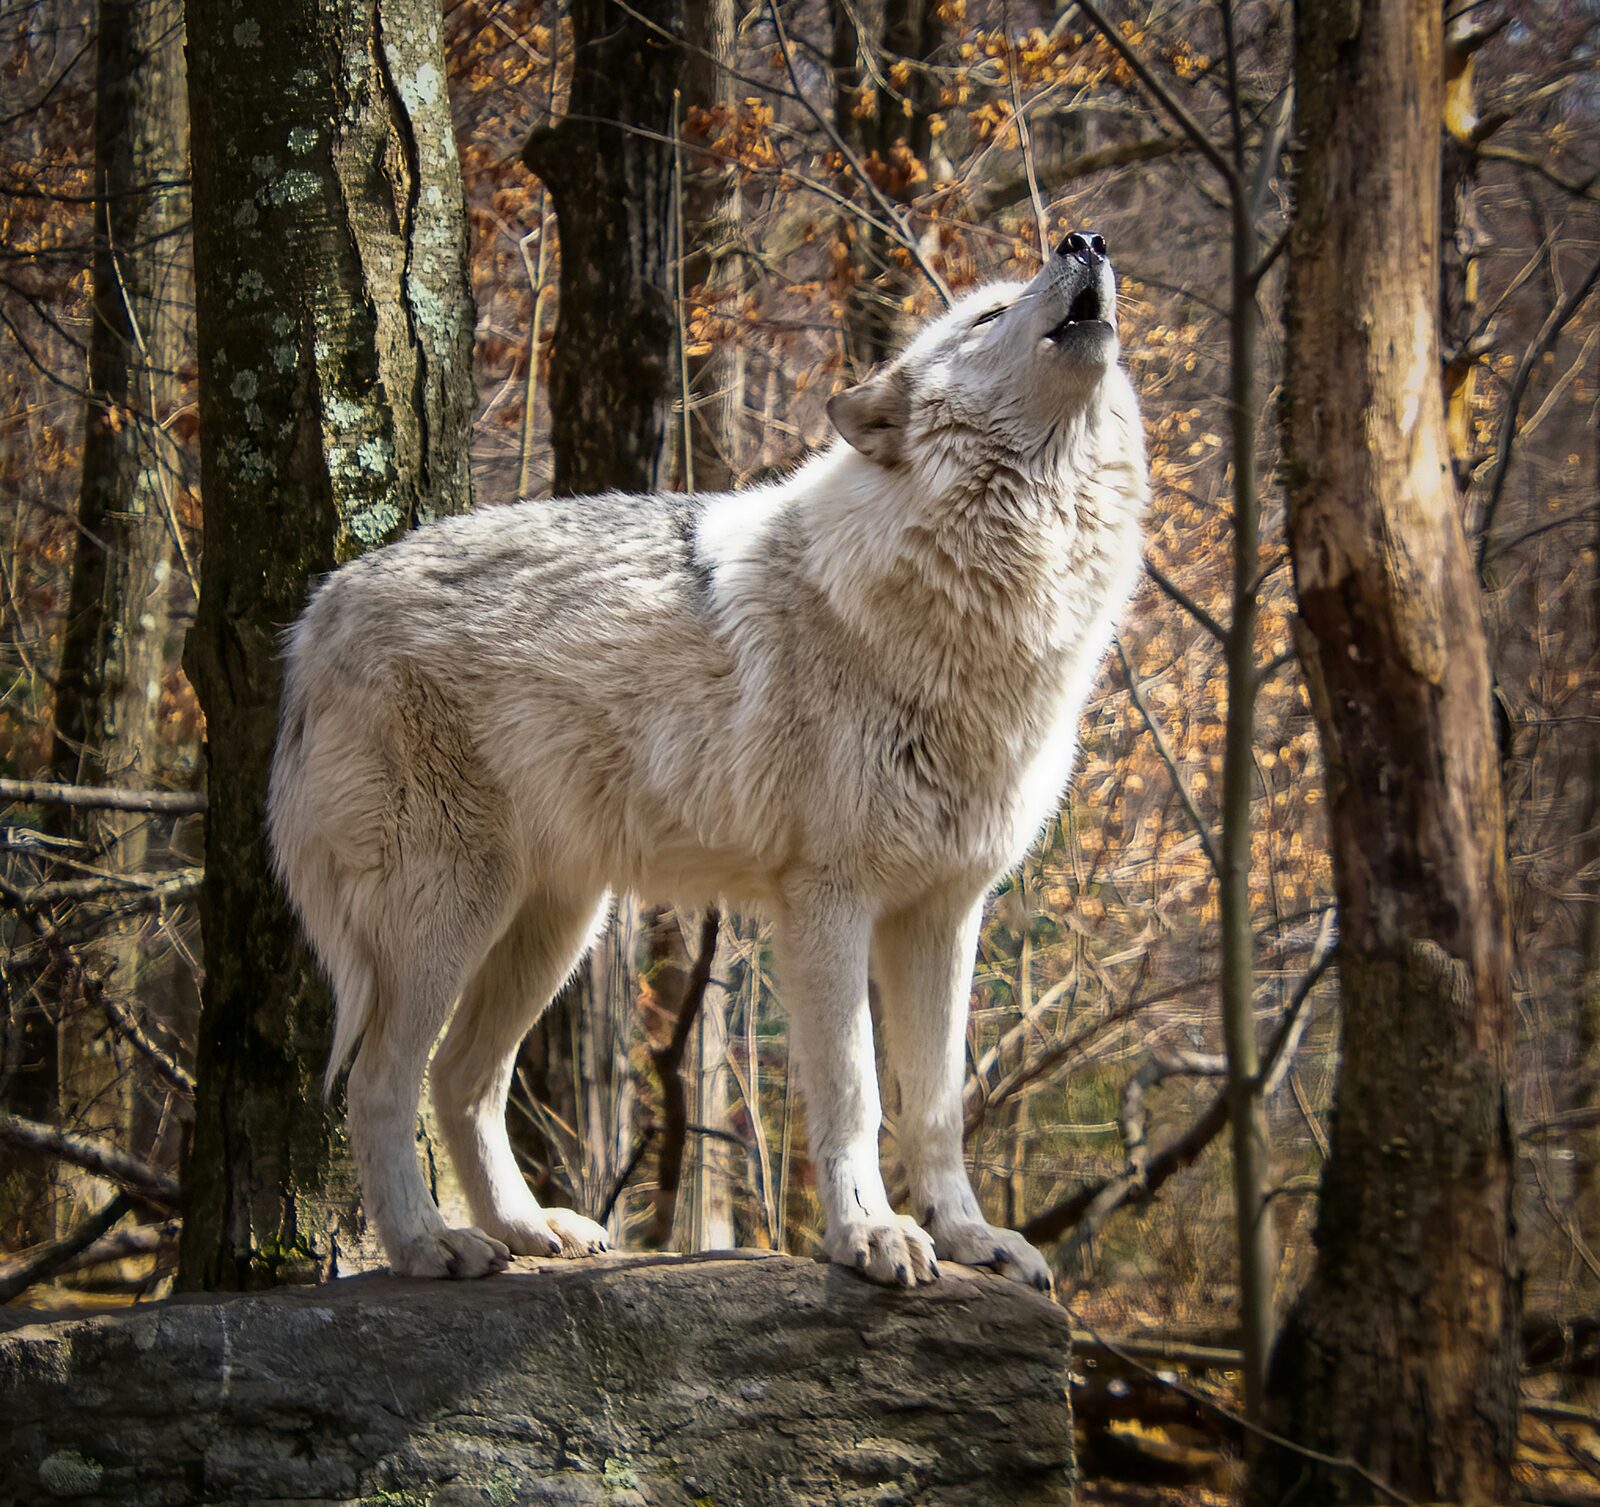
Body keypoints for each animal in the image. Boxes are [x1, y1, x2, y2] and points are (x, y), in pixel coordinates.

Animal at [267, 229, 1147, 1287]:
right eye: (988, 313)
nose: (1085, 240)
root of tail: (315, 616)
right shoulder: (829, 899)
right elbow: (857, 1095)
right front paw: (870, 1234)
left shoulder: (944, 911)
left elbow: (937, 1108)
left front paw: (972, 1237)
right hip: (451, 913)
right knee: (379, 1084)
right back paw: (428, 1244)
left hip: (554, 926)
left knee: (462, 1078)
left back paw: (528, 1230)